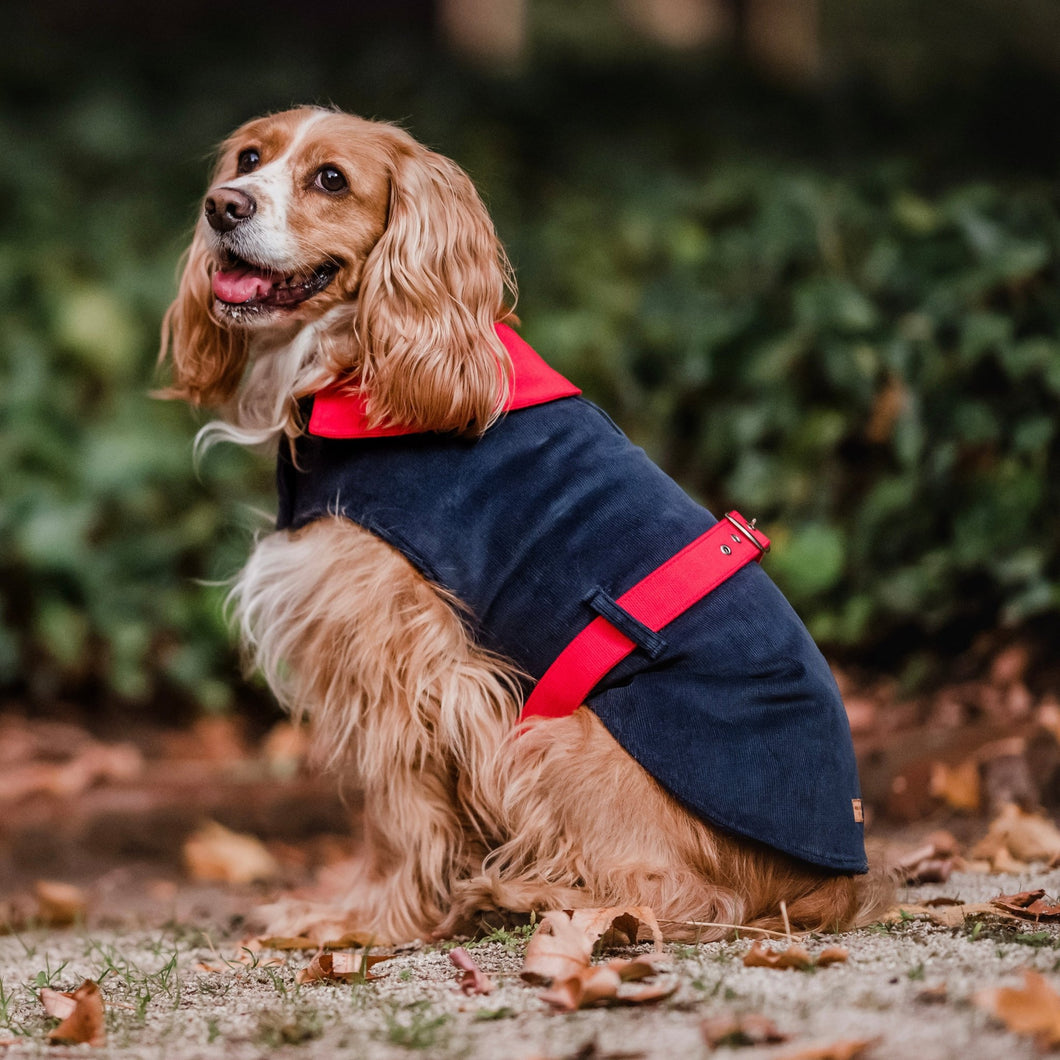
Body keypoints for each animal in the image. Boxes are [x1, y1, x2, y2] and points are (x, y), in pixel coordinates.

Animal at [161, 103, 890, 941]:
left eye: (331, 179)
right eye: (249, 158)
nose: (223, 207)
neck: (366, 370)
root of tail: (836, 878)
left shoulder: (403, 660)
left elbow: (397, 815)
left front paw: (362, 923)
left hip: (554, 736)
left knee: (683, 897)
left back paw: (519, 896)